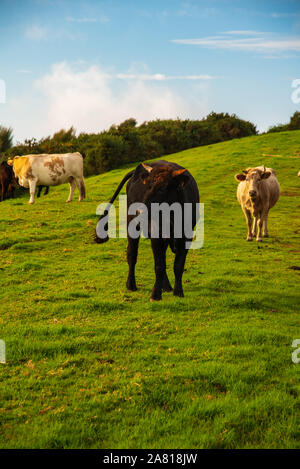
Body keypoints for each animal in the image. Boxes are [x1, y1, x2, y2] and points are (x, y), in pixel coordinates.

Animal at [95, 160, 200, 300]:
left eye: (163, 188)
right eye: (148, 186)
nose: (139, 210)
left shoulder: (186, 236)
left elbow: (178, 265)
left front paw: (178, 292)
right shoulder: (156, 234)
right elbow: (159, 265)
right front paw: (155, 294)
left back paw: (166, 286)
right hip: (132, 226)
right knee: (132, 254)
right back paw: (131, 285)